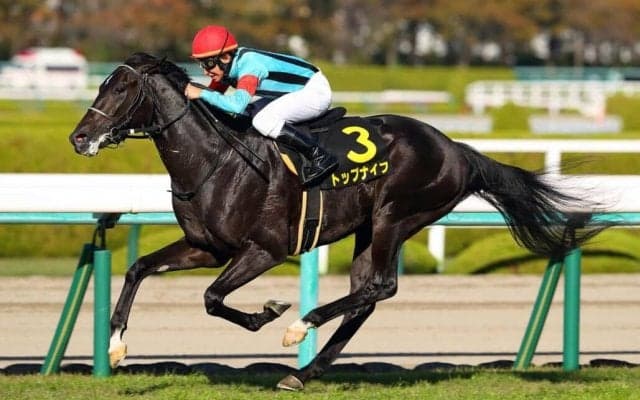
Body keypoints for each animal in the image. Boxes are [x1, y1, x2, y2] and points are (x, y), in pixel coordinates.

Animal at [69, 53, 604, 390]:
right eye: (102, 83)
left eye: (121, 87)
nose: (79, 138)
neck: (214, 162)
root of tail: (458, 150)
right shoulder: (208, 247)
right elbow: (139, 269)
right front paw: (114, 347)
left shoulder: (265, 249)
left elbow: (212, 298)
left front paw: (270, 313)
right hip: (370, 228)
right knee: (365, 297)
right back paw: (302, 372)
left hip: (396, 215)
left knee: (380, 287)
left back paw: (300, 328)